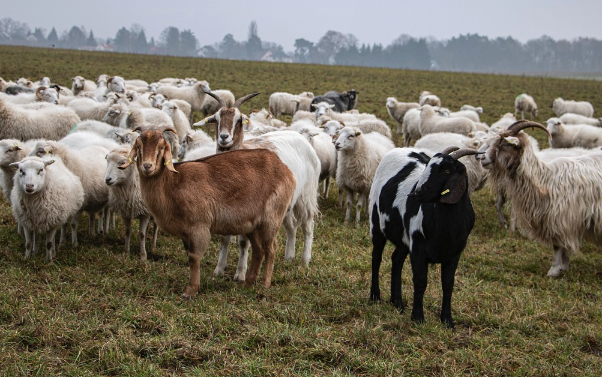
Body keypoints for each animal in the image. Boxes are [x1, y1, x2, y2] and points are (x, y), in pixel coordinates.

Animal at [119, 128, 296, 298]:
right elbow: (189, 255)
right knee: (258, 250)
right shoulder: (185, 232)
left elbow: (194, 258)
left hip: (272, 218)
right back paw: (247, 284)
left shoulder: (198, 226)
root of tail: (286, 171)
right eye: (139, 148)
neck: (173, 184)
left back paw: (265, 284)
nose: (147, 166)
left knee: (271, 248)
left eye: (161, 148)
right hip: (252, 224)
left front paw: (190, 291)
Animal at [366, 145, 478, 328]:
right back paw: (375, 296)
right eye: (428, 166)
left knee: (396, 260)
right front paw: (418, 317)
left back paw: (397, 302)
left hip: (404, 238)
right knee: (376, 258)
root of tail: (398, 148)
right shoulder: (418, 248)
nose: (416, 192)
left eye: (447, 170)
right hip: (376, 223)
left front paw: (447, 320)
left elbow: (448, 284)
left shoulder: (454, 253)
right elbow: (420, 281)